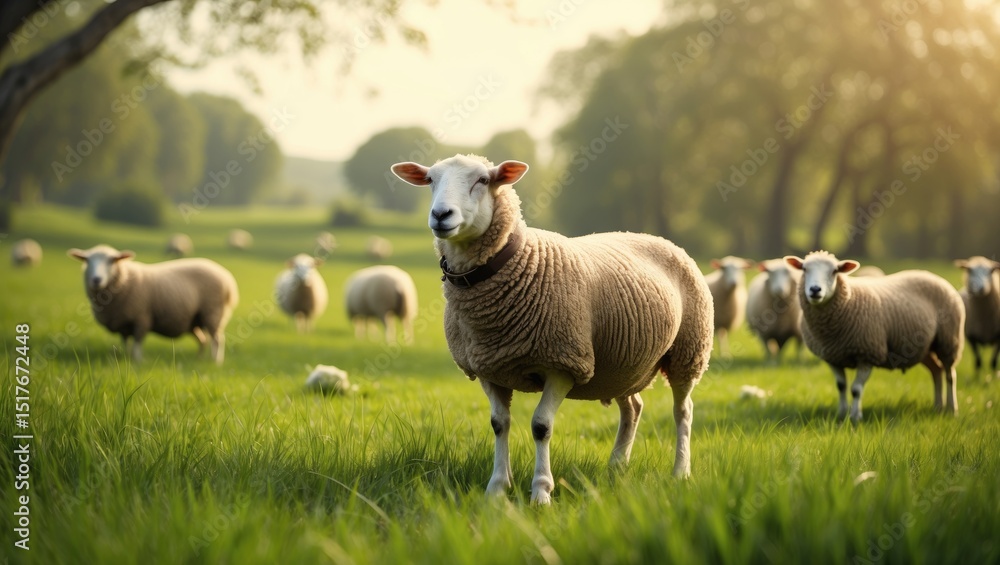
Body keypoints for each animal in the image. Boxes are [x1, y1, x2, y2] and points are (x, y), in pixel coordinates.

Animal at [68, 245, 239, 364]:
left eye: (112, 260)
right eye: (87, 261)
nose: (96, 279)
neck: (124, 280)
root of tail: (227, 277)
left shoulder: (141, 318)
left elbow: (137, 343)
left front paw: (137, 362)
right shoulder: (123, 323)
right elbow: (126, 343)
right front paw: (125, 358)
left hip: (213, 312)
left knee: (217, 339)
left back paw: (215, 361)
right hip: (193, 320)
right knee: (203, 340)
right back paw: (200, 359)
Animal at [391, 154, 713, 504]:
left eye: (483, 180)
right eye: (431, 180)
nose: (440, 215)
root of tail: (655, 237)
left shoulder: (563, 363)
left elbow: (541, 426)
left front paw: (541, 493)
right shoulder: (488, 367)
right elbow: (499, 424)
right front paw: (497, 489)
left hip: (688, 351)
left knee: (683, 411)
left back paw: (680, 472)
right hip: (621, 365)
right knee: (633, 409)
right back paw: (616, 466)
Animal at [785, 251, 964, 422]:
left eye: (835, 271)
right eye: (804, 269)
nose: (815, 290)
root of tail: (934, 276)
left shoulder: (868, 354)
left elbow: (856, 390)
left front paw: (855, 417)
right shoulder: (833, 357)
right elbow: (841, 386)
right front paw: (842, 414)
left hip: (948, 341)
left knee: (950, 375)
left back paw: (952, 409)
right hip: (924, 348)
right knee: (936, 371)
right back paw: (938, 407)